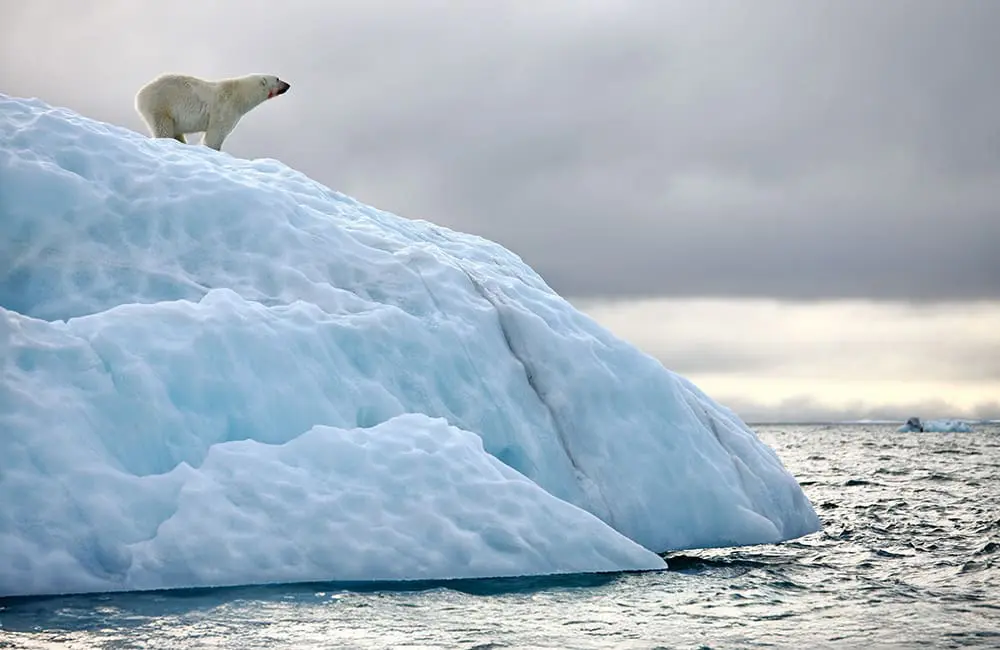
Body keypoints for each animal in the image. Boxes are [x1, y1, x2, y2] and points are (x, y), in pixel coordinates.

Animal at [135, 73, 290, 151]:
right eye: (277, 79)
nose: (288, 85)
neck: (241, 95)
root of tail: (139, 94)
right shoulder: (226, 108)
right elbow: (216, 134)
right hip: (161, 105)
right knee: (163, 127)